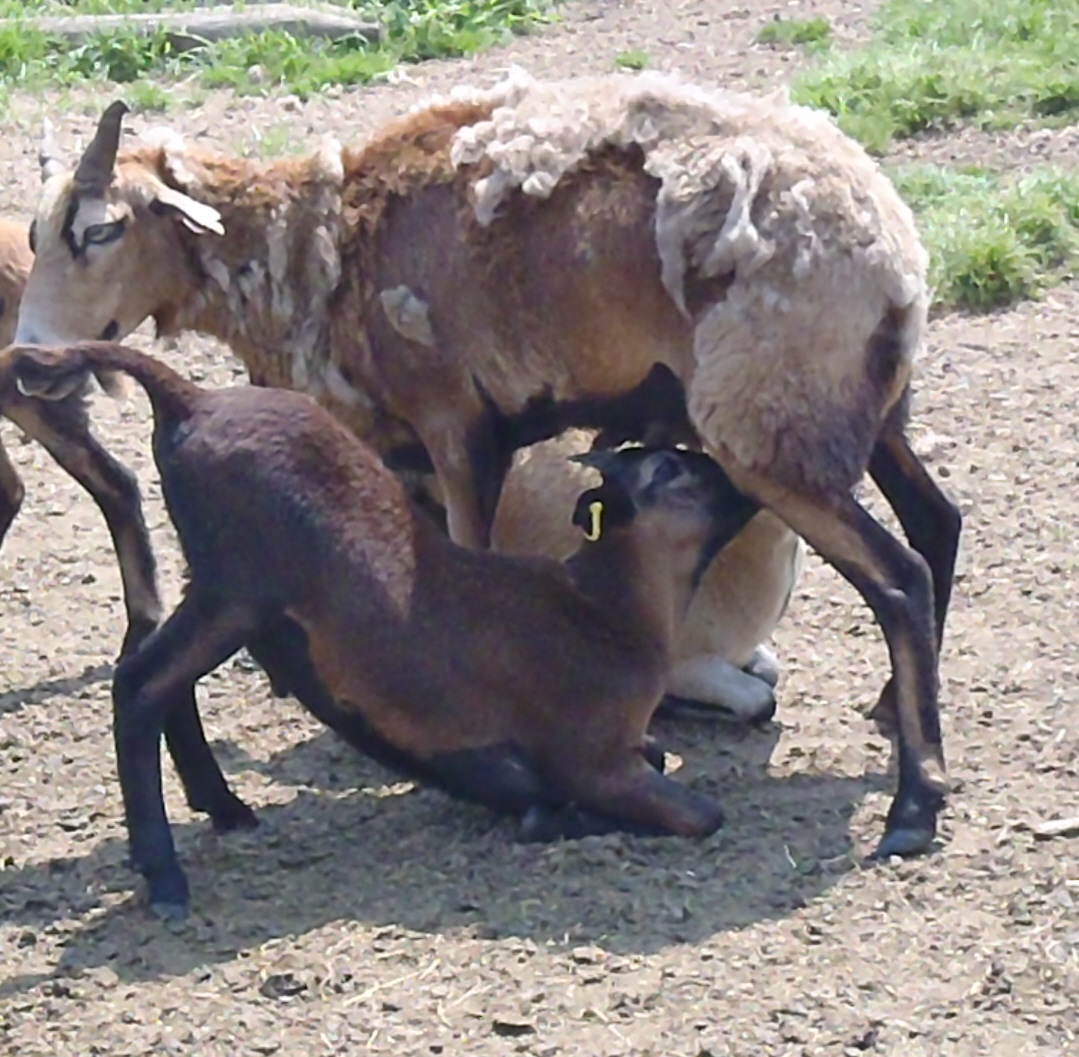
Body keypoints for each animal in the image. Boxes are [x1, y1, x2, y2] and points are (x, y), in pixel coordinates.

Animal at [14, 72, 962, 858]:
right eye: (33, 230)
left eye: (99, 229)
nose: (26, 360)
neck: (319, 245)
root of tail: (895, 254)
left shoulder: (455, 421)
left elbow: (465, 566)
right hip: (858, 412)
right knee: (936, 520)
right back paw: (892, 709)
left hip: (771, 428)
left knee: (897, 576)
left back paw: (914, 805)